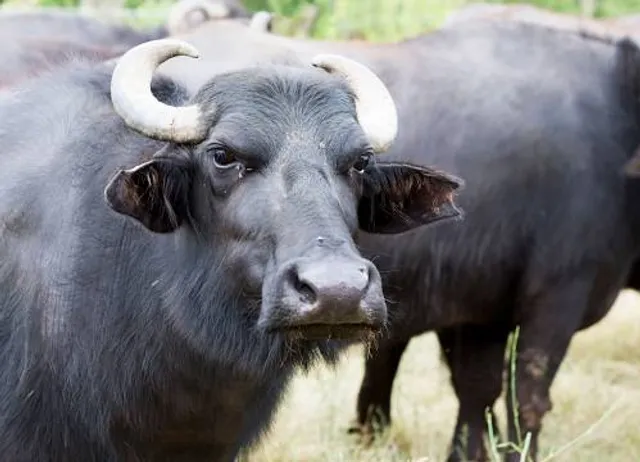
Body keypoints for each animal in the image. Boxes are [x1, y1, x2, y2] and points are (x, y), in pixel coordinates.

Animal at [155, 18, 640, 461]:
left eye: (361, 163)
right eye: (224, 156)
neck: (616, 115)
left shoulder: (480, 311)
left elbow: (477, 393)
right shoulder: (558, 293)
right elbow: (528, 401)